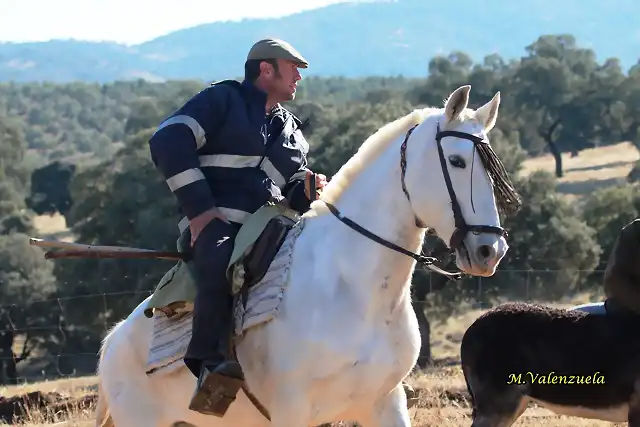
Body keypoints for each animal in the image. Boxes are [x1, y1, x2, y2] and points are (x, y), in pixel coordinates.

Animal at [95, 84, 516, 427]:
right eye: (457, 161)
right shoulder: (292, 411)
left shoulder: (385, 402)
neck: (354, 289)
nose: (488, 250)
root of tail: (112, 343)